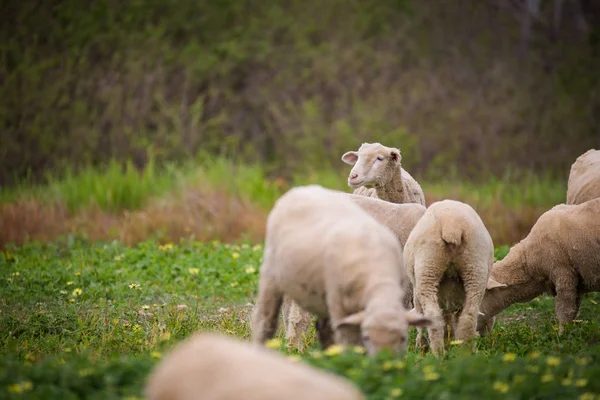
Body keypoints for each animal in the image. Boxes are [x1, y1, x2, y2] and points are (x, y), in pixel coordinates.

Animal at [404, 200, 496, 356]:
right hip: (475, 267)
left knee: (433, 316)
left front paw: (421, 346)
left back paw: (438, 353)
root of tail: (452, 225)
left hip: (428, 268)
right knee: (468, 316)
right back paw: (466, 352)